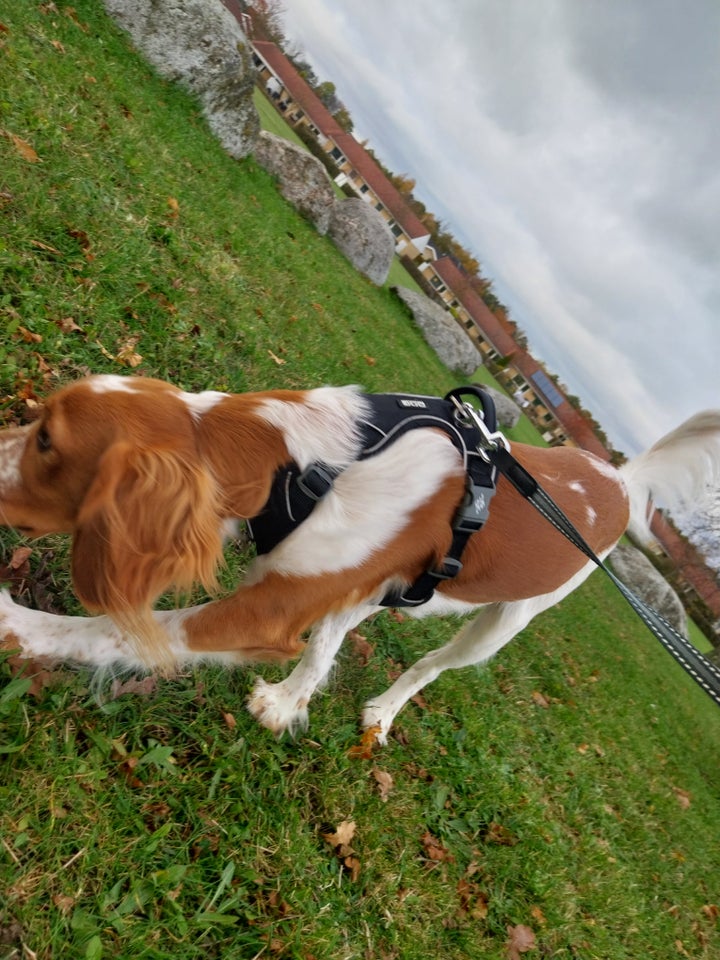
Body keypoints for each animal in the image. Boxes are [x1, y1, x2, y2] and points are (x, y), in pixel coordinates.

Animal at [1, 376, 720, 744]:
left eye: (46, 442)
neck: (304, 461)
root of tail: (619, 479)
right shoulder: (316, 579)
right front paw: (288, 701)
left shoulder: (265, 613)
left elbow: (107, 630)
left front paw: (14, 624)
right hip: (380, 584)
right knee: (336, 636)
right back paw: (291, 700)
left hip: (504, 622)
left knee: (430, 665)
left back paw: (383, 712)